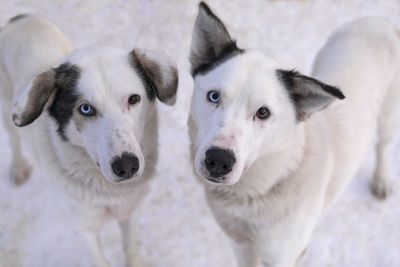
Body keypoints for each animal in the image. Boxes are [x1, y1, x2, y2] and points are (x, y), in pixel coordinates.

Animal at [0, 15, 178, 267]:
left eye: (133, 99)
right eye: (85, 109)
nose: (127, 166)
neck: (110, 191)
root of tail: (21, 17)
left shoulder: (130, 210)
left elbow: (130, 248)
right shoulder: (84, 230)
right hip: (7, 106)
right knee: (13, 138)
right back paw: (17, 167)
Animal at [188, 2, 400, 267]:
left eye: (263, 112)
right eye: (214, 96)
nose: (218, 160)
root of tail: (379, 21)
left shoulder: (281, 256)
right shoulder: (240, 243)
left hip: (388, 115)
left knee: (383, 145)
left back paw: (381, 180)